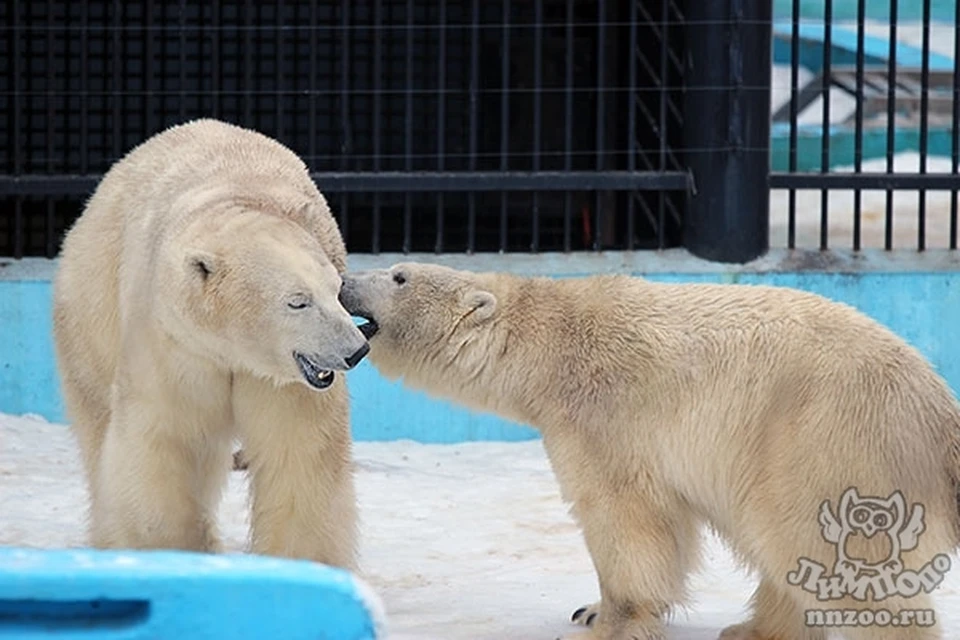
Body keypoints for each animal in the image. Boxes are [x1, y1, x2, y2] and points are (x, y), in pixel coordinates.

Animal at [340, 262, 960, 640]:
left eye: (399, 275)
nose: (343, 279)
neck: (550, 342)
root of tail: (940, 413)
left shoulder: (604, 411)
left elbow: (626, 516)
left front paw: (605, 618)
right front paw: (592, 608)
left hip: (821, 440)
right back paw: (752, 627)